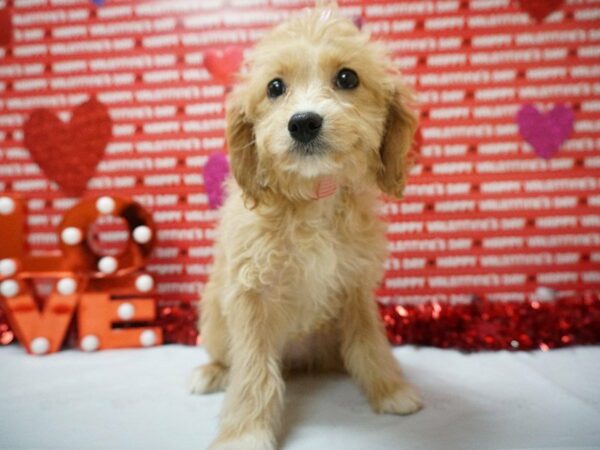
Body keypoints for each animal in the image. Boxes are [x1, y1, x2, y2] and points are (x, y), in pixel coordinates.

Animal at [192, 4, 422, 450]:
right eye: (275, 87)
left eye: (347, 78)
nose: (303, 123)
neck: (312, 197)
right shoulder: (251, 296)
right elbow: (252, 372)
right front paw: (245, 433)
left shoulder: (355, 287)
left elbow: (369, 343)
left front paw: (390, 390)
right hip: (213, 319)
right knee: (226, 357)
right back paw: (211, 372)